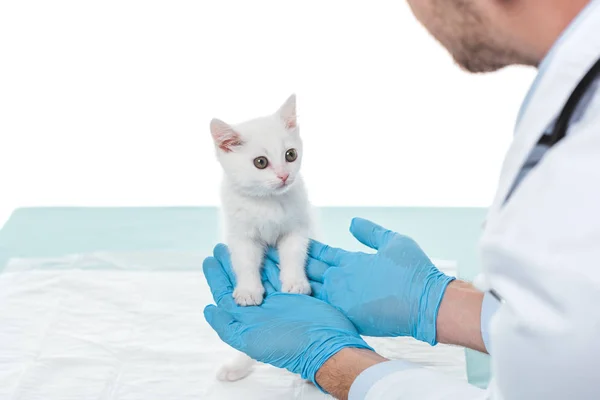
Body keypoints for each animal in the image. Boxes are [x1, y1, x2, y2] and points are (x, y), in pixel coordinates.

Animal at [210, 94, 312, 382]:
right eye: (260, 162)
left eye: (291, 155)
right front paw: (248, 290)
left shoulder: (298, 227)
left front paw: (295, 282)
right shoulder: (241, 235)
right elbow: (245, 263)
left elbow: (294, 254)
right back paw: (237, 367)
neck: (267, 203)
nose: (284, 175)